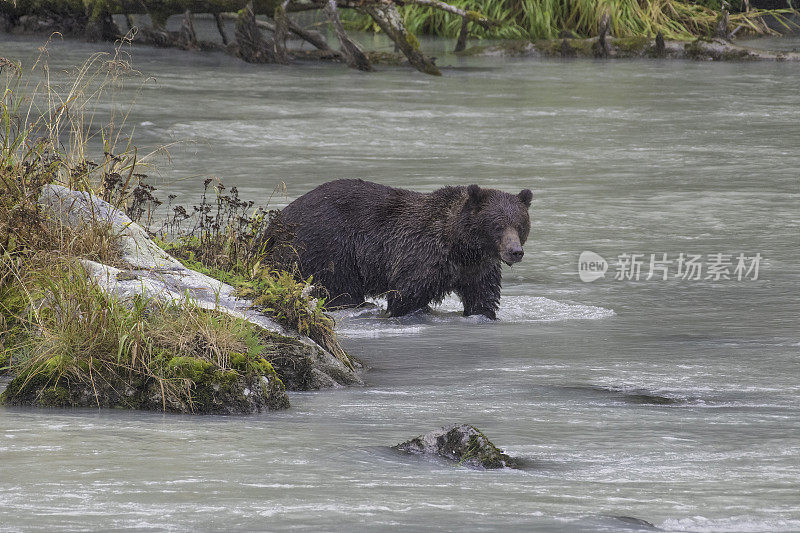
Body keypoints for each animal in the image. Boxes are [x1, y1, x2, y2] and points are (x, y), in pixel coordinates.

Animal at [276, 179, 532, 320]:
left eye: (520, 225)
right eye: (498, 225)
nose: (515, 251)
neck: (460, 247)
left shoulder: (478, 268)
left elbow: (483, 298)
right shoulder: (421, 254)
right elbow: (406, 296)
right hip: (328, 246)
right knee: (340, 289)